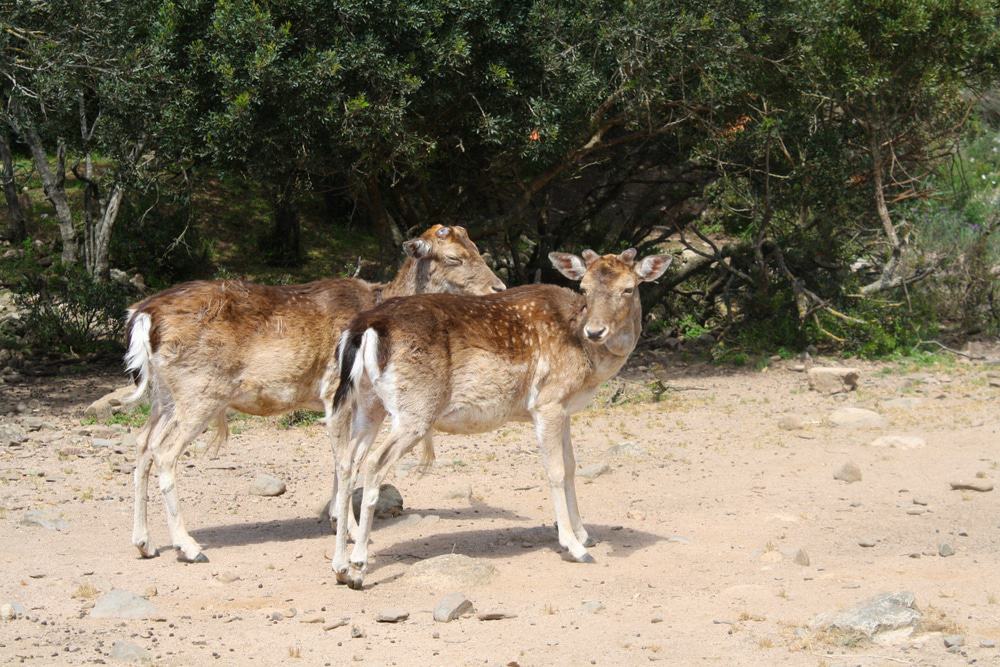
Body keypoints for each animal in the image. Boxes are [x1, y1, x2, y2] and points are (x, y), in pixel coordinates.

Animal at [124, 224, 504, 564]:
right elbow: (345, 459)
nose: (498, 287)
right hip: (199, 392)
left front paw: (337, 519)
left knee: (143, 443)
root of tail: (143, 314)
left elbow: (344, 458)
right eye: (454, 257)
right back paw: (189, 547)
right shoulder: (335, 388)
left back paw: (145, 543)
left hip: (163, 395)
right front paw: (349, 528)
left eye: (477, 249)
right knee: (164, 451)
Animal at [328, 247, 672, 588]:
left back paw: (340, 566)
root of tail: (364, 327)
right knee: (374, 463)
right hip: (415, 409)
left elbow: (573, 466)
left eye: (628, 288)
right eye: (584, 288)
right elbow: (556, 471)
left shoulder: (564, 409)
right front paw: (575, 546)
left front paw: (585, 535)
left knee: (347, 461)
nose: (595, 330)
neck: (589, 363)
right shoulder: (547, 402)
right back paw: (358, 566)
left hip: (369, 403)